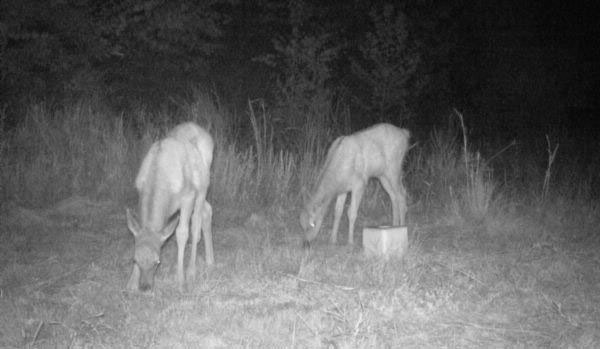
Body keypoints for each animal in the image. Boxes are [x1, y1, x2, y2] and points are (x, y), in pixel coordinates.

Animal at [125, 122, 214, 290]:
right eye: (135, 260)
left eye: (157, 262)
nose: (145, 286)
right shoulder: (139, 191)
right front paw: (131, 283)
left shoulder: (188, 196)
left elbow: (182, 233)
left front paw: (180, 280)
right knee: (208, 210)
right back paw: (210, 260)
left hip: (202, 187)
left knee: (196, 222)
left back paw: (192, 271)